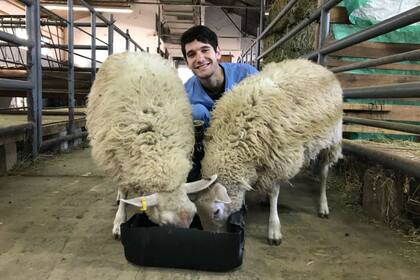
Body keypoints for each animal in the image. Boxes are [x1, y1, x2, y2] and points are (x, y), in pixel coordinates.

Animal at [86, 51, 215, 237]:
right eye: (166, 224)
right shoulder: (118, 157)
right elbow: (123, 189)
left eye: (193, 216)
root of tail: (135, 52)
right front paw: (119, 221)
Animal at [192, 58, 342, 245]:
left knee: (323, 174)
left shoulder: (279, 159)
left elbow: (274, 193)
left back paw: (323, 206)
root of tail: (315, 65)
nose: (211, 239)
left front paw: (274, 230)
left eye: (216, 212)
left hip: (331, 140)